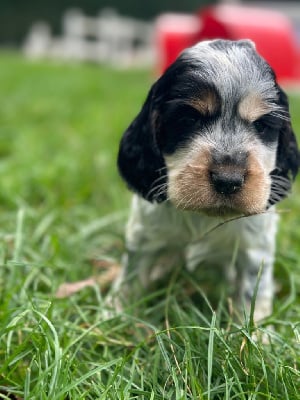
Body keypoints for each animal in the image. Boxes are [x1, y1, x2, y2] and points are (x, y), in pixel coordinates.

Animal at [114, 39, 298, 322]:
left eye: (261, 125)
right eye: (188, 119)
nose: (228, 180)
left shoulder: (255, 249)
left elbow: (252, 295)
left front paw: (254, 330)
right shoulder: (143, 236)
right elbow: (130, 279)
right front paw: (114, 316)